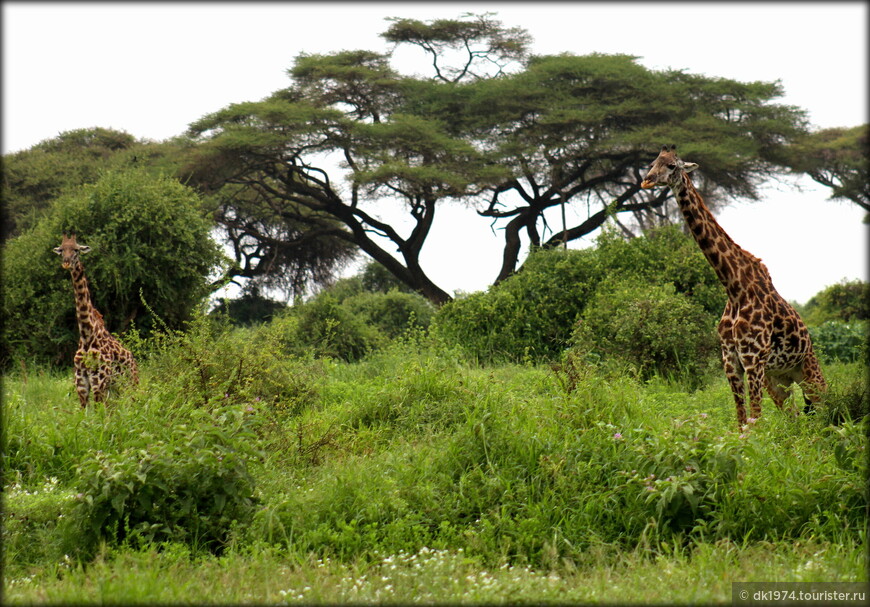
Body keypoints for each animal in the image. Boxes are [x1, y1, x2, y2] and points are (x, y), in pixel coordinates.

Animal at [54, 234, 137, 408]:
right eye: (61, 250)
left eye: (76, 250)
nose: (66, 262)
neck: (87, 334)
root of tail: (134, 361)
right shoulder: (81, 382)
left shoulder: (98, 380)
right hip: (115, 388)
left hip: (129, 383)